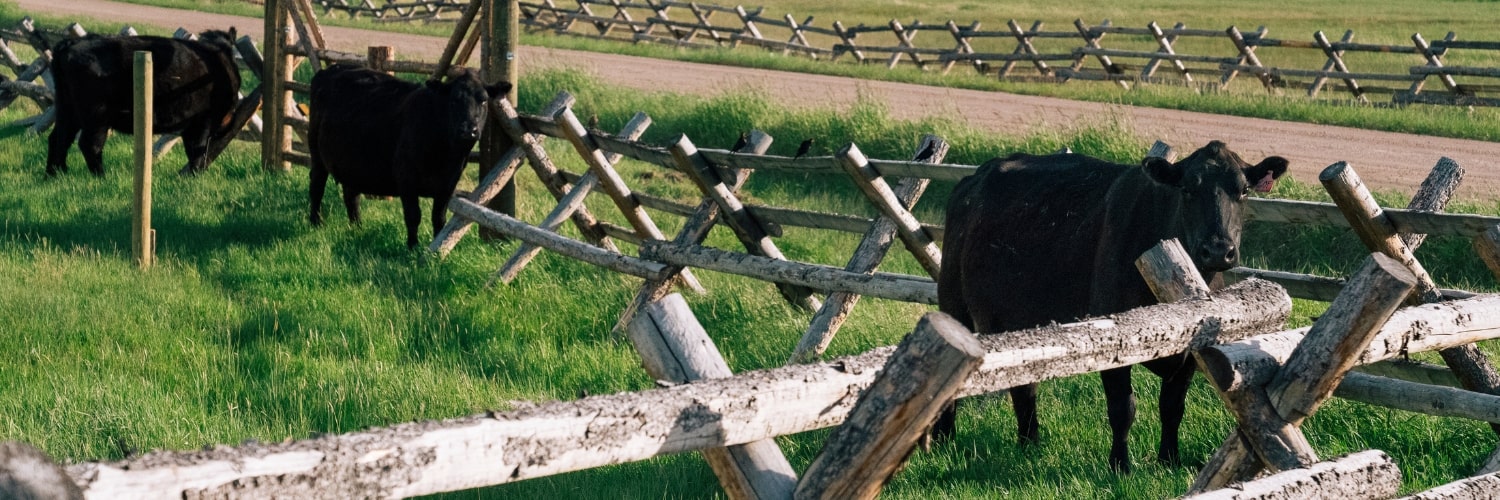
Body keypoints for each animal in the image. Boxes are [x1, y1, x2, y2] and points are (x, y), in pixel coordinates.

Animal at [47, 29, 242, 177]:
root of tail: (71, 43)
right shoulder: (204, 120)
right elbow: (197, 151)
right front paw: (194, 176)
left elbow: (192, 151)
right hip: (96, 116)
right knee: (89, 144)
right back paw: (101, 177)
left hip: (67, 109)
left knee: (59, 138)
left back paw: (56, 174)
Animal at [307, 64, 510, 249]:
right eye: (453, 100)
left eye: (483, 101)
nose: (469, 130)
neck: (444, 155)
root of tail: (331, 69)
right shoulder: (406, 180)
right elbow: (413, 216)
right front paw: (413, 247)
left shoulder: (448, 185)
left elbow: (439, 218)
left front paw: (436, 245)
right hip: (317, 156)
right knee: (317, 187)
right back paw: (316, 223)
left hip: (351, 164)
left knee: (351, 195)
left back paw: (357, 227)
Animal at [935, 141, 1287, 472]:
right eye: (1187, 188)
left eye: (1243, 190)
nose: (1217, 250)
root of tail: (975, 177)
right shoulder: (1113, 342)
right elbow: (1123, 409)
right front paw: (1120, 465)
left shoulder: (1192, 352)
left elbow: (1172, 407)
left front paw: (1169, 460)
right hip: (953, 304)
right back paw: (943, 441)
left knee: (1024, 386)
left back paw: (1029, 443)